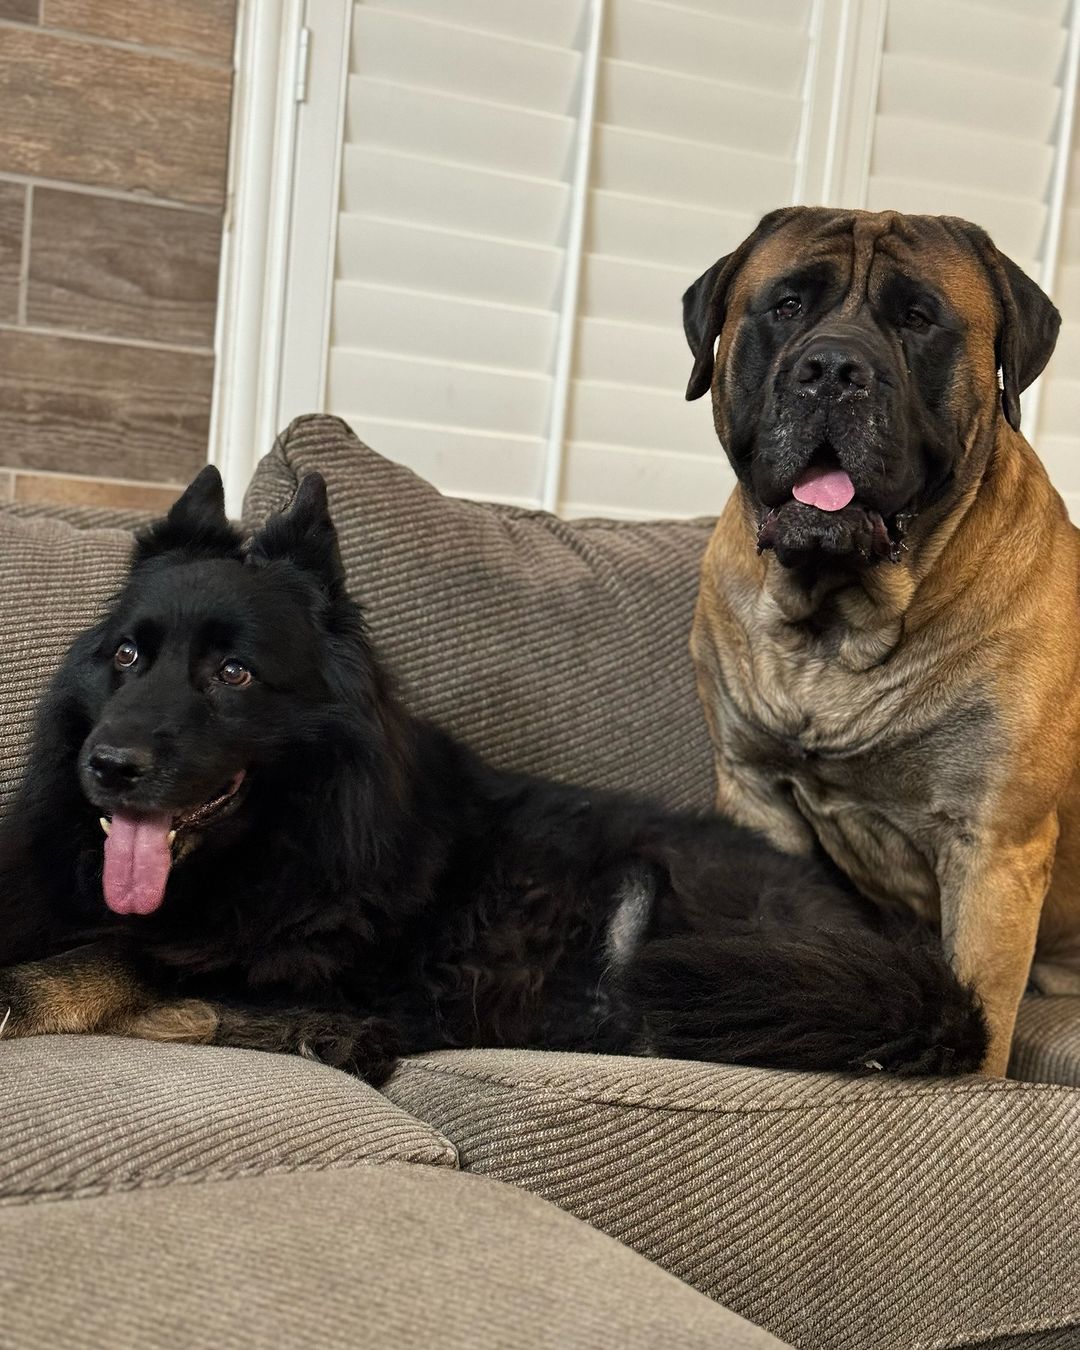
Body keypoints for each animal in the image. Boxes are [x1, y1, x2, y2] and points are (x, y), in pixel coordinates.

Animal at [0, 469, 988, 1080]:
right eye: (127, 656)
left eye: (234, 675)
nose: (107, 767)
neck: (300, 829)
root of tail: (910, 970)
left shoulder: (335, 976)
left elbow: (132, 962)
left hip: (665, 920)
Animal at [688, 207, 1074, 1074]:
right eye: (787, 305)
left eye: (919, 318)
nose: (833, 369)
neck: (839, 626)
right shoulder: (756, 795)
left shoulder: (992, 849)